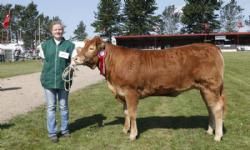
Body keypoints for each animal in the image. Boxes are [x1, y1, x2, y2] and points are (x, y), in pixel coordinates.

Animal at [73, 36, 226, 142]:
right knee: (210, 108)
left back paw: (217, 136)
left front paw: (133, 135)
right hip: (204, 89)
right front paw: (125, 130)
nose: (75, 59)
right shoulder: (123, 93)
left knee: (217, 108)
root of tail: (212, 47)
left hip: (210, 87)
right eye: (83, 46)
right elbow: (126, 112)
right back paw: (209, 131)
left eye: (91, 48)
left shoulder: (131, 92)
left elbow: (132, 114)